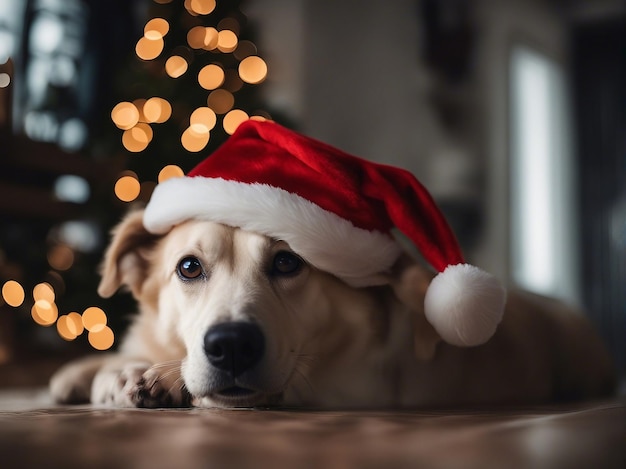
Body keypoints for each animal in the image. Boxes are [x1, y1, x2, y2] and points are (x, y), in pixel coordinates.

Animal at [50, 210, 616, 408]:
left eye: (286, 262)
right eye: (189, 267)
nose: (231, 346)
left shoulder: (345, 384)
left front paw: (149, 377)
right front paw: (96, 371)